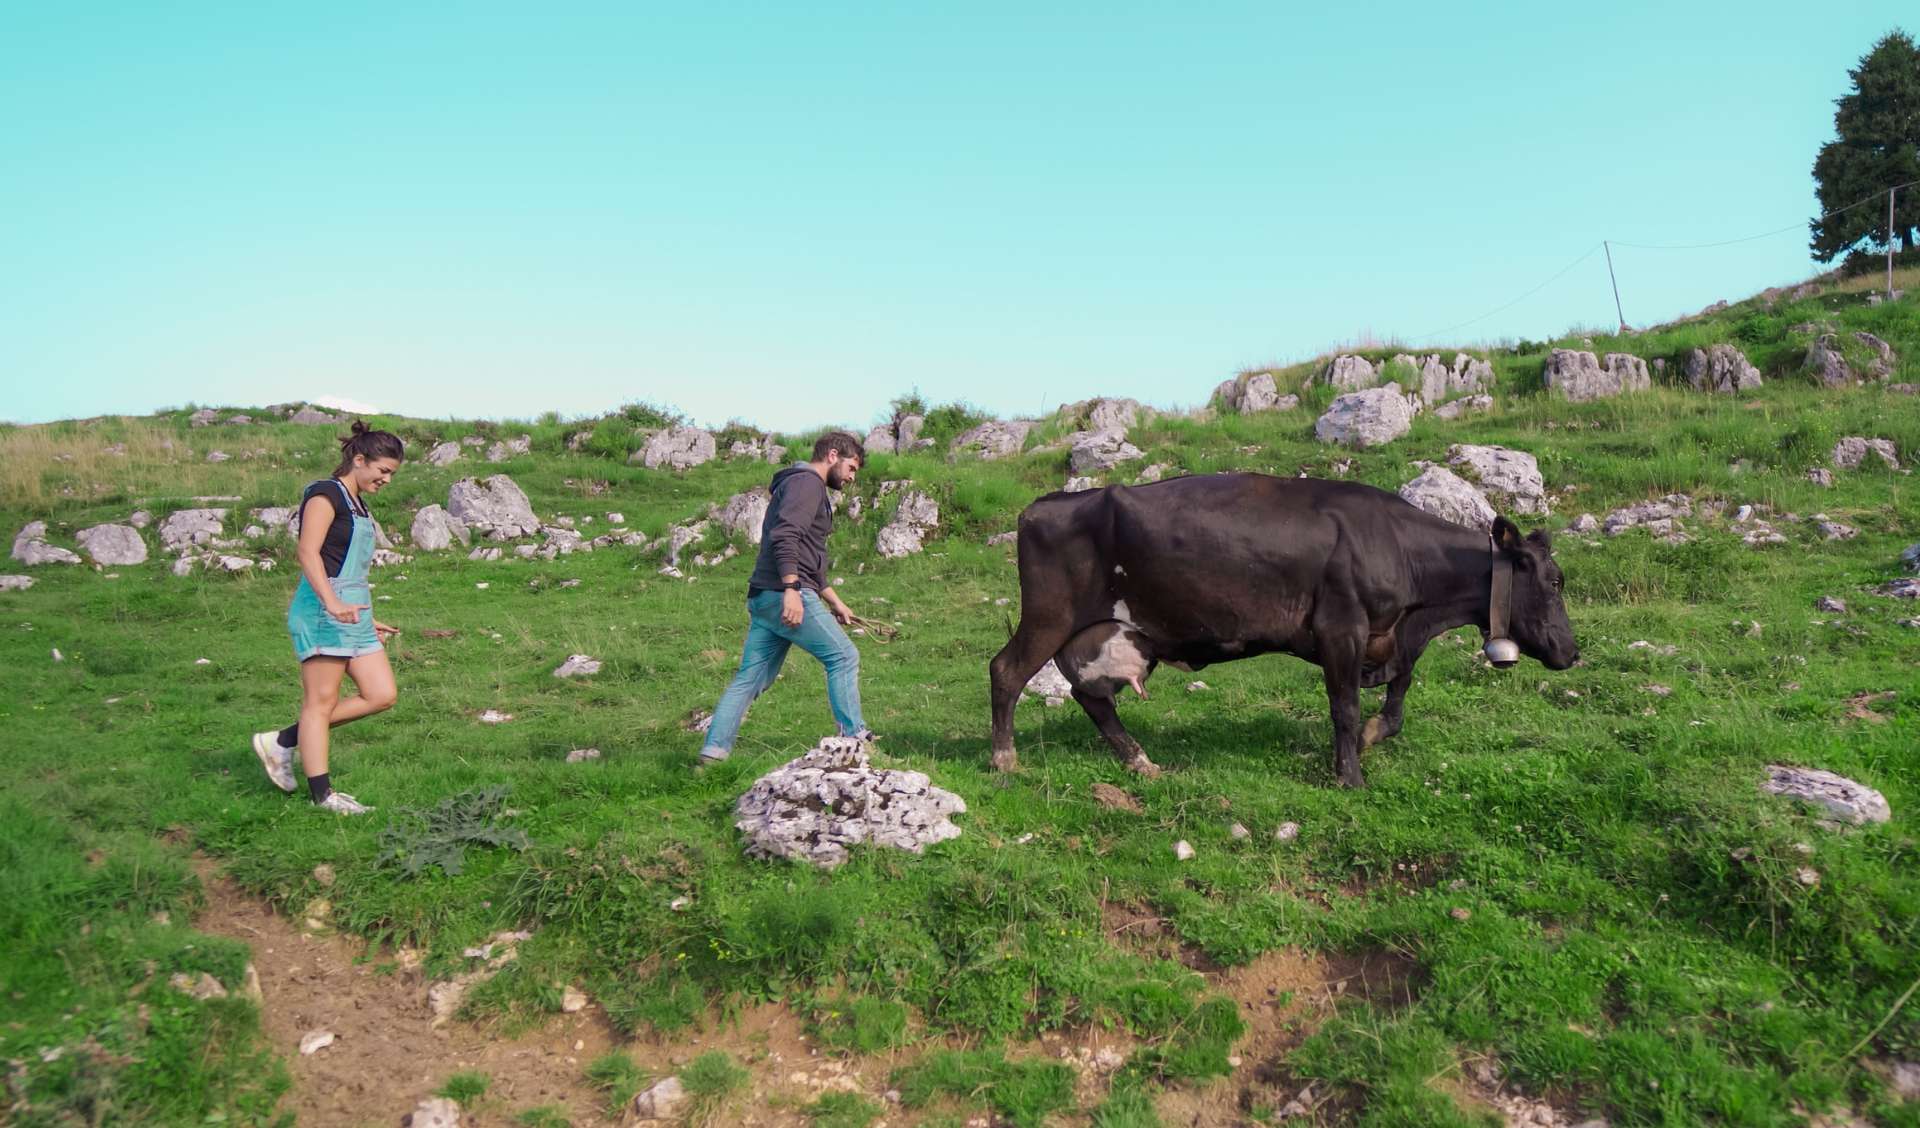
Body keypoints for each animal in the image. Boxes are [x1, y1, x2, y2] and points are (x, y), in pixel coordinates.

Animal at [990, 473, 1574, 782]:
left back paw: (1140, 762)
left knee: (1090, 696)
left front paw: (1369, 740)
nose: (1572, 652)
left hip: (1104, 634)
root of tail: (1045, 505)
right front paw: (1350, 775)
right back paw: (1005, 759)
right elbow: (1345, 708)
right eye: (1555, 580)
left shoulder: (1392, 639)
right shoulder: (1341, 628)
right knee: (1006, 671)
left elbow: (1395, 706)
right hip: (1049, 615)